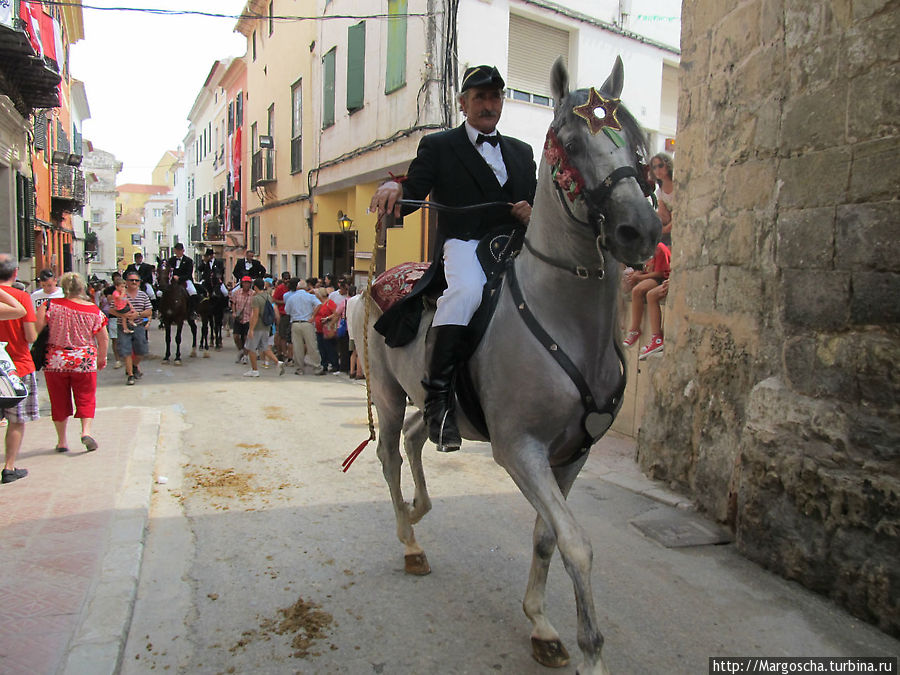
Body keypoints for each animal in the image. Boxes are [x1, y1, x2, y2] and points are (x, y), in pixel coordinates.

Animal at [352, 59, 660, 675]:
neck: (565, 319)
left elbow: (546, 537)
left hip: (433, 401)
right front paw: (589, 647)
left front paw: (540, 623)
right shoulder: (520, 451)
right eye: (570, 142)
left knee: (421, 435)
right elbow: (576, 544)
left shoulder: (571, 455)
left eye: (636, 141)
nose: (640, 230)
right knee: (390, 456)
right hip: (391, 398)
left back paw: (419, 511)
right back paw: (410, 541)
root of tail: (380, 278)